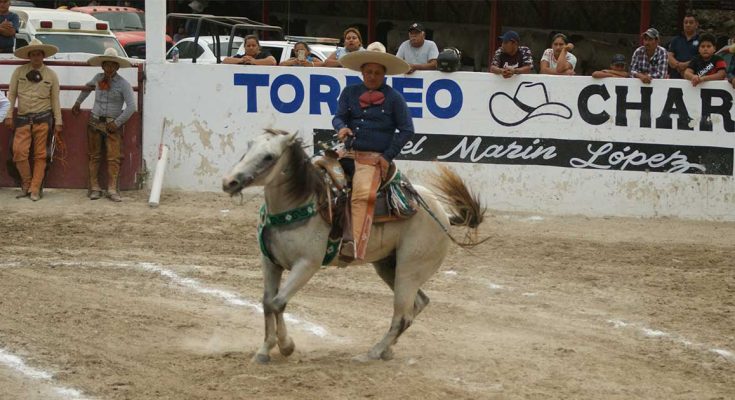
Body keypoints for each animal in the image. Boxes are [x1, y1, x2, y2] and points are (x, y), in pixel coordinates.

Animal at [224, 129, 488, 362]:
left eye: (269, 156)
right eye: (248, 147)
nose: (229, 181)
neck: (300, 203)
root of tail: (442, 213)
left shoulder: (307, 265)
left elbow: (278, 302)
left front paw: (287, 346)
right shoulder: (270, 262)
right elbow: (267, 302)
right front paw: (264, 350)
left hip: (410, 269)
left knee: (402, 315)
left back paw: (372, 352)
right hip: (388, 266)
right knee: (418, 304)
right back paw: (387, 350)